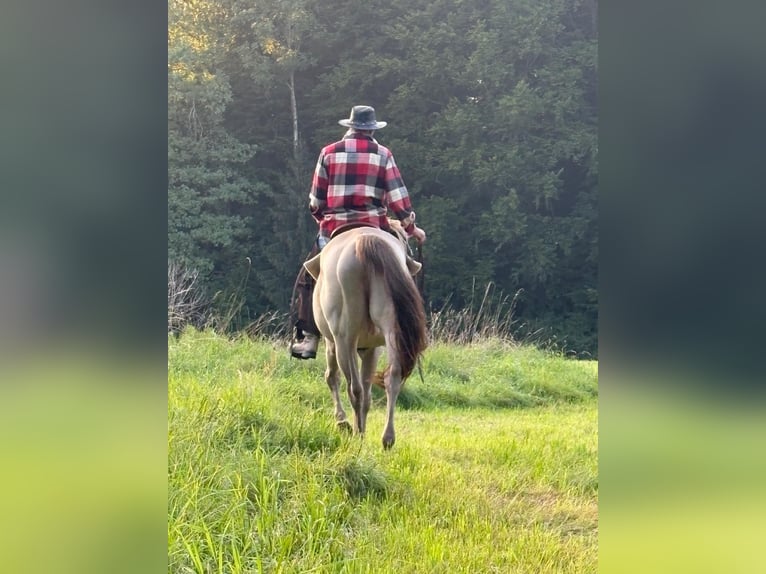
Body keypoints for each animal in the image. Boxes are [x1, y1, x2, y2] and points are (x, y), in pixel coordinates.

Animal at [303, 221, 428, 449]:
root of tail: (366, 241)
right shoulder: (373, 348)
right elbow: (369, 394)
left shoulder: (332, 343)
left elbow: (332, 377)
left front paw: (342, 422)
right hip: (390, 331)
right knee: (392, 378)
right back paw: (387, 438)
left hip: (345, 340)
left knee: (354, 388)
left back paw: (358, 435)